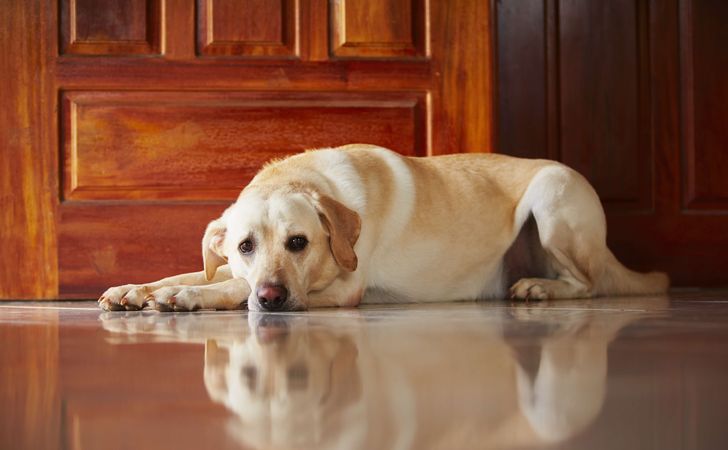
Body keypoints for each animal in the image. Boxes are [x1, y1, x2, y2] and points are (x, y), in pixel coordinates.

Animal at [98, 145, 672, 312]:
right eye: (244, 245)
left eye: (298, 243)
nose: (273, 298)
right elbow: (192, 272)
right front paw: (135, 288)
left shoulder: (345, 286)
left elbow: (230, 288)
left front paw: (187, 297)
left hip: (554, 197)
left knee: (589, 283)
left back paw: (541, 288)